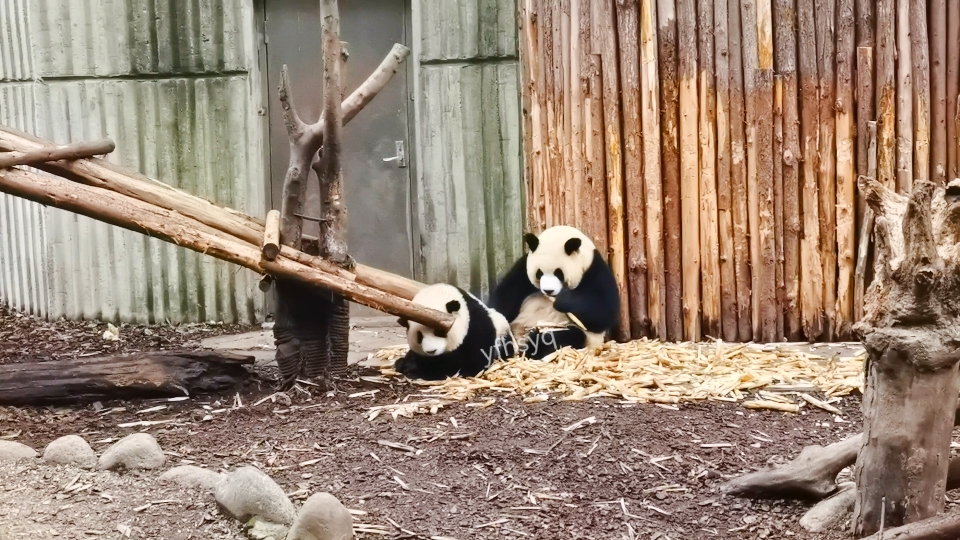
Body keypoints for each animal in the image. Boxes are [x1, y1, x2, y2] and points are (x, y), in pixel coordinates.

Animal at [492, 226, 620, 360]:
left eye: (559, 273)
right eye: (539, 273)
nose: (548, 290)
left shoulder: (594, 269)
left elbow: (602, 312)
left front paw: (563, 300)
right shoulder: (523, 268)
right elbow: (506, 296)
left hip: (582, 336)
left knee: (568, 336)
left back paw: (534, 342)